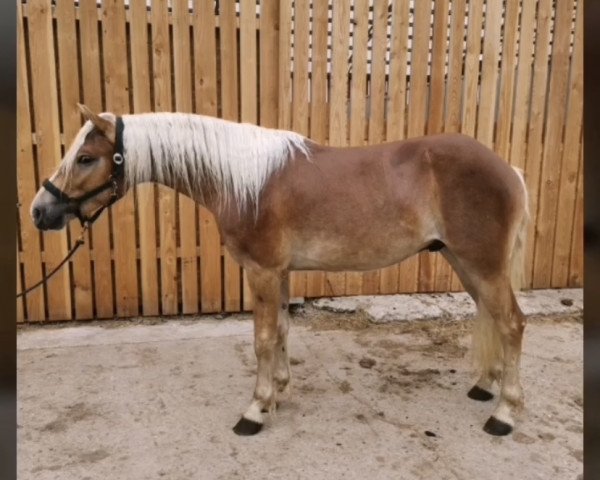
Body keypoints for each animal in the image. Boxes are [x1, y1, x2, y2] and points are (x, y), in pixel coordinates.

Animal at [30, 103, 528, 436]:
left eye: (86, 158)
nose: (40, 211)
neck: (244, 179)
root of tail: (508, 168)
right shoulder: (281, 272)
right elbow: (284, 330)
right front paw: (280, 392)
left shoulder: (263, 271)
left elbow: (264, 338)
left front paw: (255, 409)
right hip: (465, 263)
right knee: (494, 319)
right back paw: (485, 387)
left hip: (482, 265)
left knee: (512, 324)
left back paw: (503, 414)